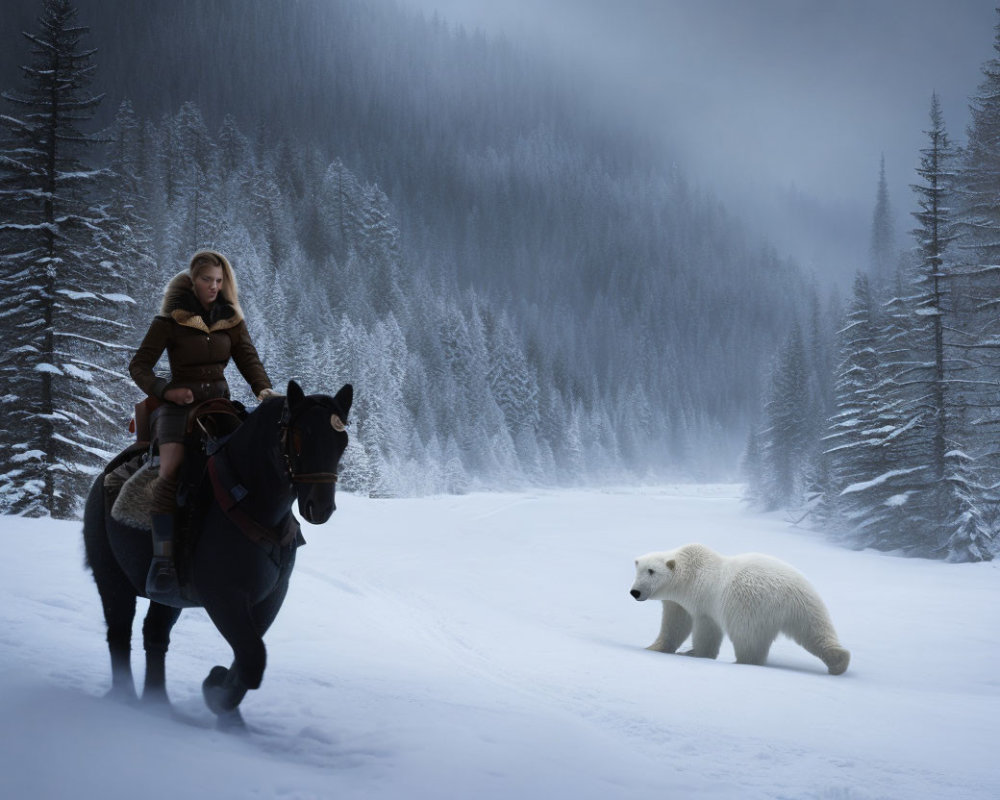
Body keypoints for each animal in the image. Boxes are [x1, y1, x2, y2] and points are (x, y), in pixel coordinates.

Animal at [84, 378, 354, 728]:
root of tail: (103, 478)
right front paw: (217, 694)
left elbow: (247, 658)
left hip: (167, 596)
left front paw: (224, 701)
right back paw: (126, 699)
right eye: (300, 434)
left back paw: (159, 704)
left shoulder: (270, 598)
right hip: (111, 578)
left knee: (154, 634)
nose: (320, 507)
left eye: (342, 440)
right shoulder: (223, 598)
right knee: (119, 633)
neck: (250, 501)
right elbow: (253, 659)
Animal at [628, 544, 848, 676]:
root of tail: (788, 595)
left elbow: (706, 630)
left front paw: (694, 654)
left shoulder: (704, 602)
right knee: (816, 632)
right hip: (807, 606)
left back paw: (741, 663)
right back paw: (839, 661)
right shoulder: (678, 603)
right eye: (638, 571)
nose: (635, 592)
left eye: (652, 571)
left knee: (748, 641)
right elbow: (675, 625)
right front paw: (655, 647)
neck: (689, 574)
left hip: (750, 608)